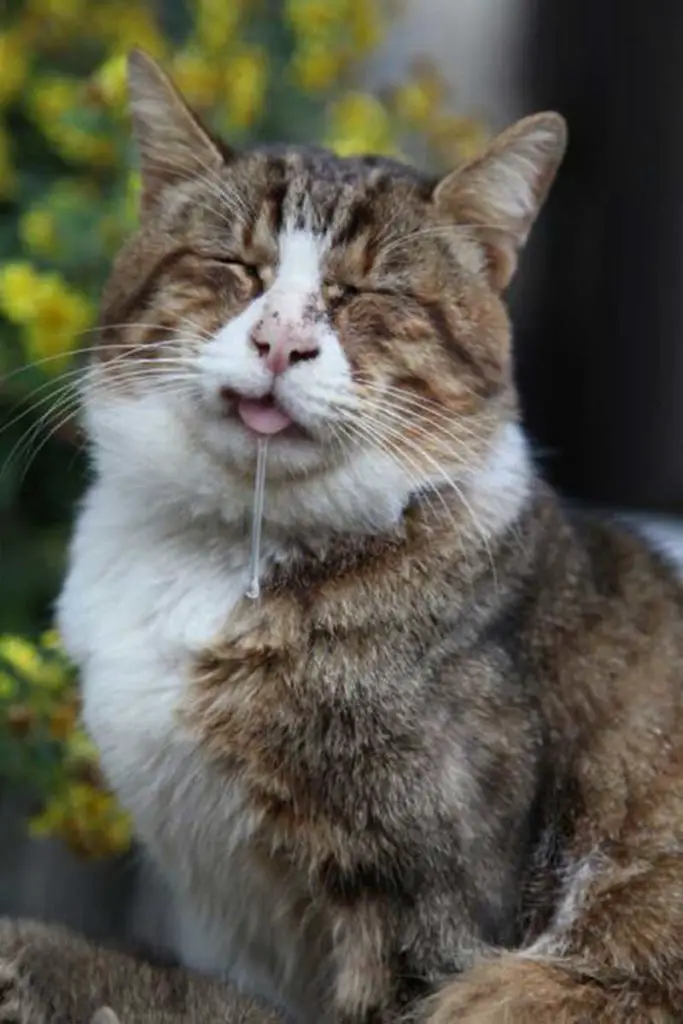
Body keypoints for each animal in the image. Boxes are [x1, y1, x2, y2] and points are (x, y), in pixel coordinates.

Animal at [1, 46, 683, 1024]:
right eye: (237, 265)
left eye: (363, 293)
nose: (282, 341)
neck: (232, 550)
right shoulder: (229, 925)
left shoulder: (431, 907)